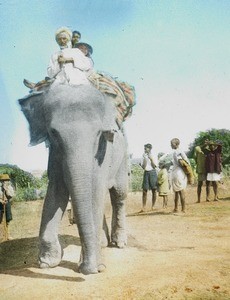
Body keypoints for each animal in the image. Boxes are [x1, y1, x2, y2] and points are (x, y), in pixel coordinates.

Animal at [18, 84, 128, 274]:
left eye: (99, 133)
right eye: (53, 133)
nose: (91, 270)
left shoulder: (104, 150)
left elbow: (95, 190)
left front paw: (95, 266)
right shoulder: (55, 153)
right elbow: (57, 191)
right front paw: (47, 263)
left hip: (123, 156)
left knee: (119, 195)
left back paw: (119, 243)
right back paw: (103, 243)